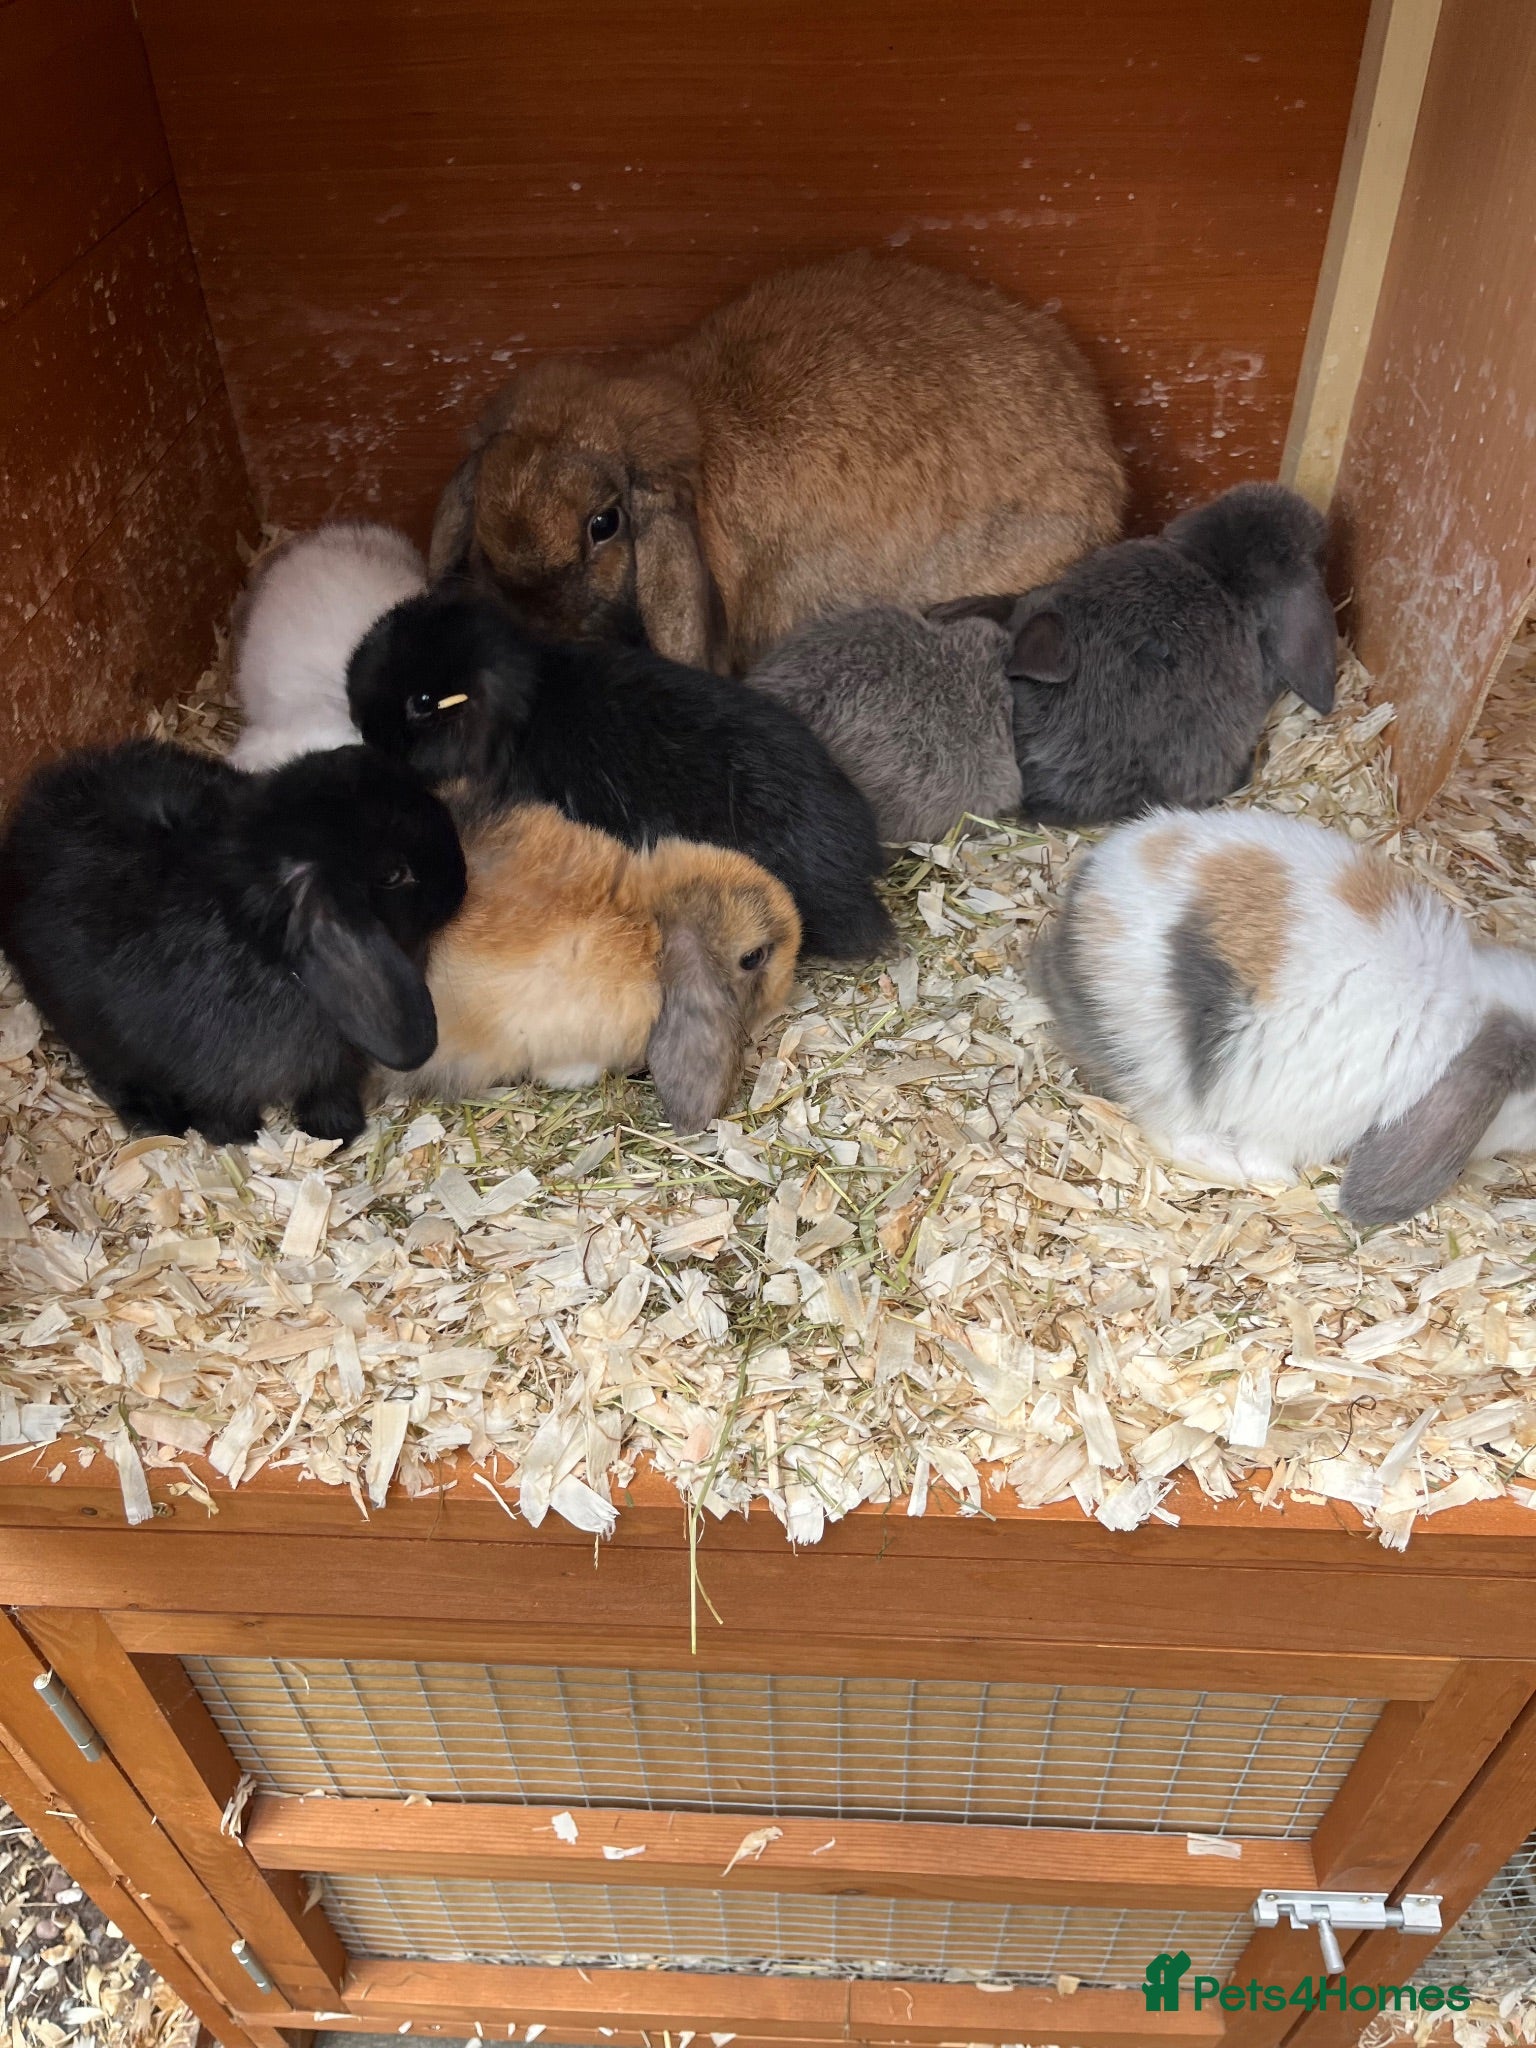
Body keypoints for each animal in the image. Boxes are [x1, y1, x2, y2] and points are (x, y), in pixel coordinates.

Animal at [0, 740, 466, 1146]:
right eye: (393, 875)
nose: (460, 883)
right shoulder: (213, 1079)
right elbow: (222, 1113)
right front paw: (242, 1138)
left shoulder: (332, 1070)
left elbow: (329, 1094)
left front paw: (335, 1134)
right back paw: (157, 1121)